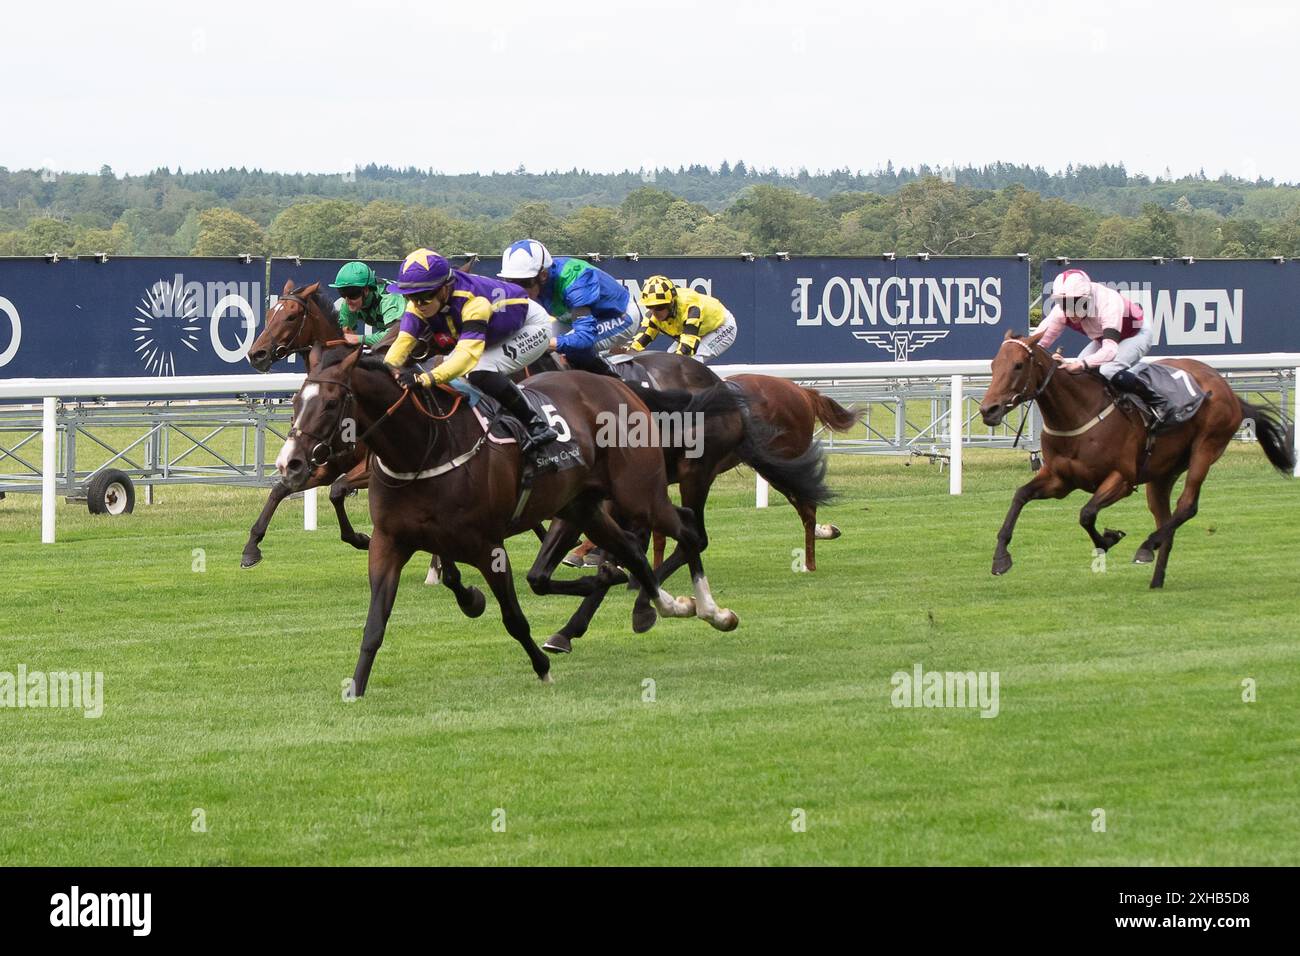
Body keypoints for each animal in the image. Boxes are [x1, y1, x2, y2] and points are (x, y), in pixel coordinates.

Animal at [276, 343, 743, 697]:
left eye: (331, 403)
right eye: (296, 401)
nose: (290, 464)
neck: (425, 448)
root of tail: (619, 383)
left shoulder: (488, 546)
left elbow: (513, 618)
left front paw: (541, 667)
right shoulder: (389, 542)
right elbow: (375, 623)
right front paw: (356, 688)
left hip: (638, 493)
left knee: (687, 528)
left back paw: (711, 611)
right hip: (583, 506)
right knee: (629, 550)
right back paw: (661, 603)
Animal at [977, 335, 1294, 590]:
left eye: (1018, 365)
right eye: (993, 365)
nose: (988, 409)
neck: (1078, 412)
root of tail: (1227, 389)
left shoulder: (1122, 479)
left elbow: (1086, 514)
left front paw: (1109, 538)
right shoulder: (1060, 480)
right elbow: (1020, 496)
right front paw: (1000, 559)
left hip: (1206, 447)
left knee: (1187, 506)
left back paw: (1146, 546)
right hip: (1161, 474)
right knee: (1167, 520)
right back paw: (1156, 578)